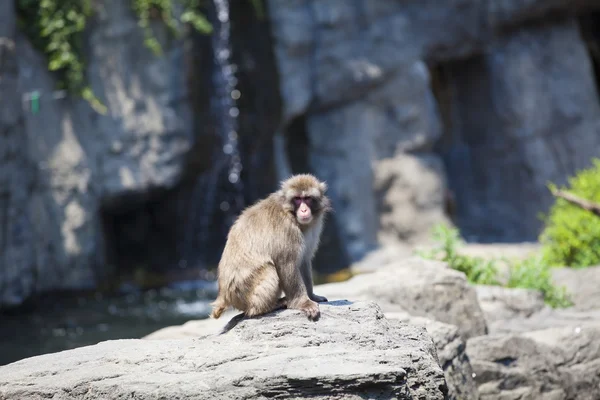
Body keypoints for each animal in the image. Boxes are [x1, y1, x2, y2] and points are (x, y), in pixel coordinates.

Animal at [211, 174, 332, 322]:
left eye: (307, 198)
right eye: (297, 199)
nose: (304, 210)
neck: (291, 215)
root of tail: (224, 295)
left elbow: (304, 261)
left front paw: (312, 296)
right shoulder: (287, 230)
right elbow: (287, 264)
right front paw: (304, 302)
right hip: (243, 290)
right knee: (269, 269)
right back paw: (267, 307)